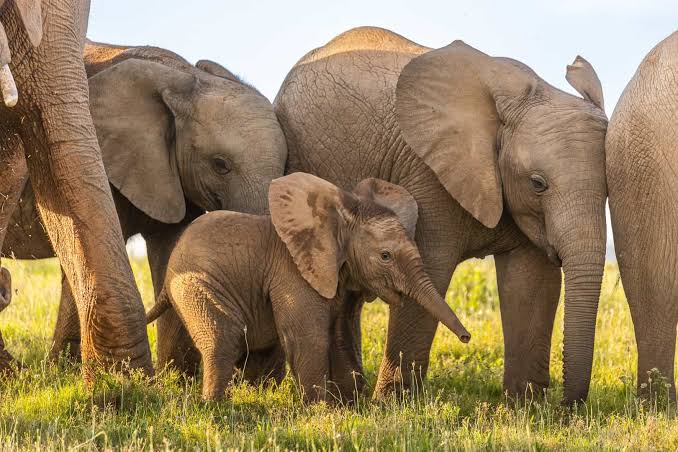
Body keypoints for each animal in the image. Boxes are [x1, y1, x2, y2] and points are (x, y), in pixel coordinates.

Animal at [146, 172, 471, 402]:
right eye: (385, 256)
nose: (466, 337)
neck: (340, 218)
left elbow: (340, 335)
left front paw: (349, 407)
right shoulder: (294, 273)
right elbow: (309, 337)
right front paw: (321, 411)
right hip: (197, 282)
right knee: (223, 337)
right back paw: (216, 407)